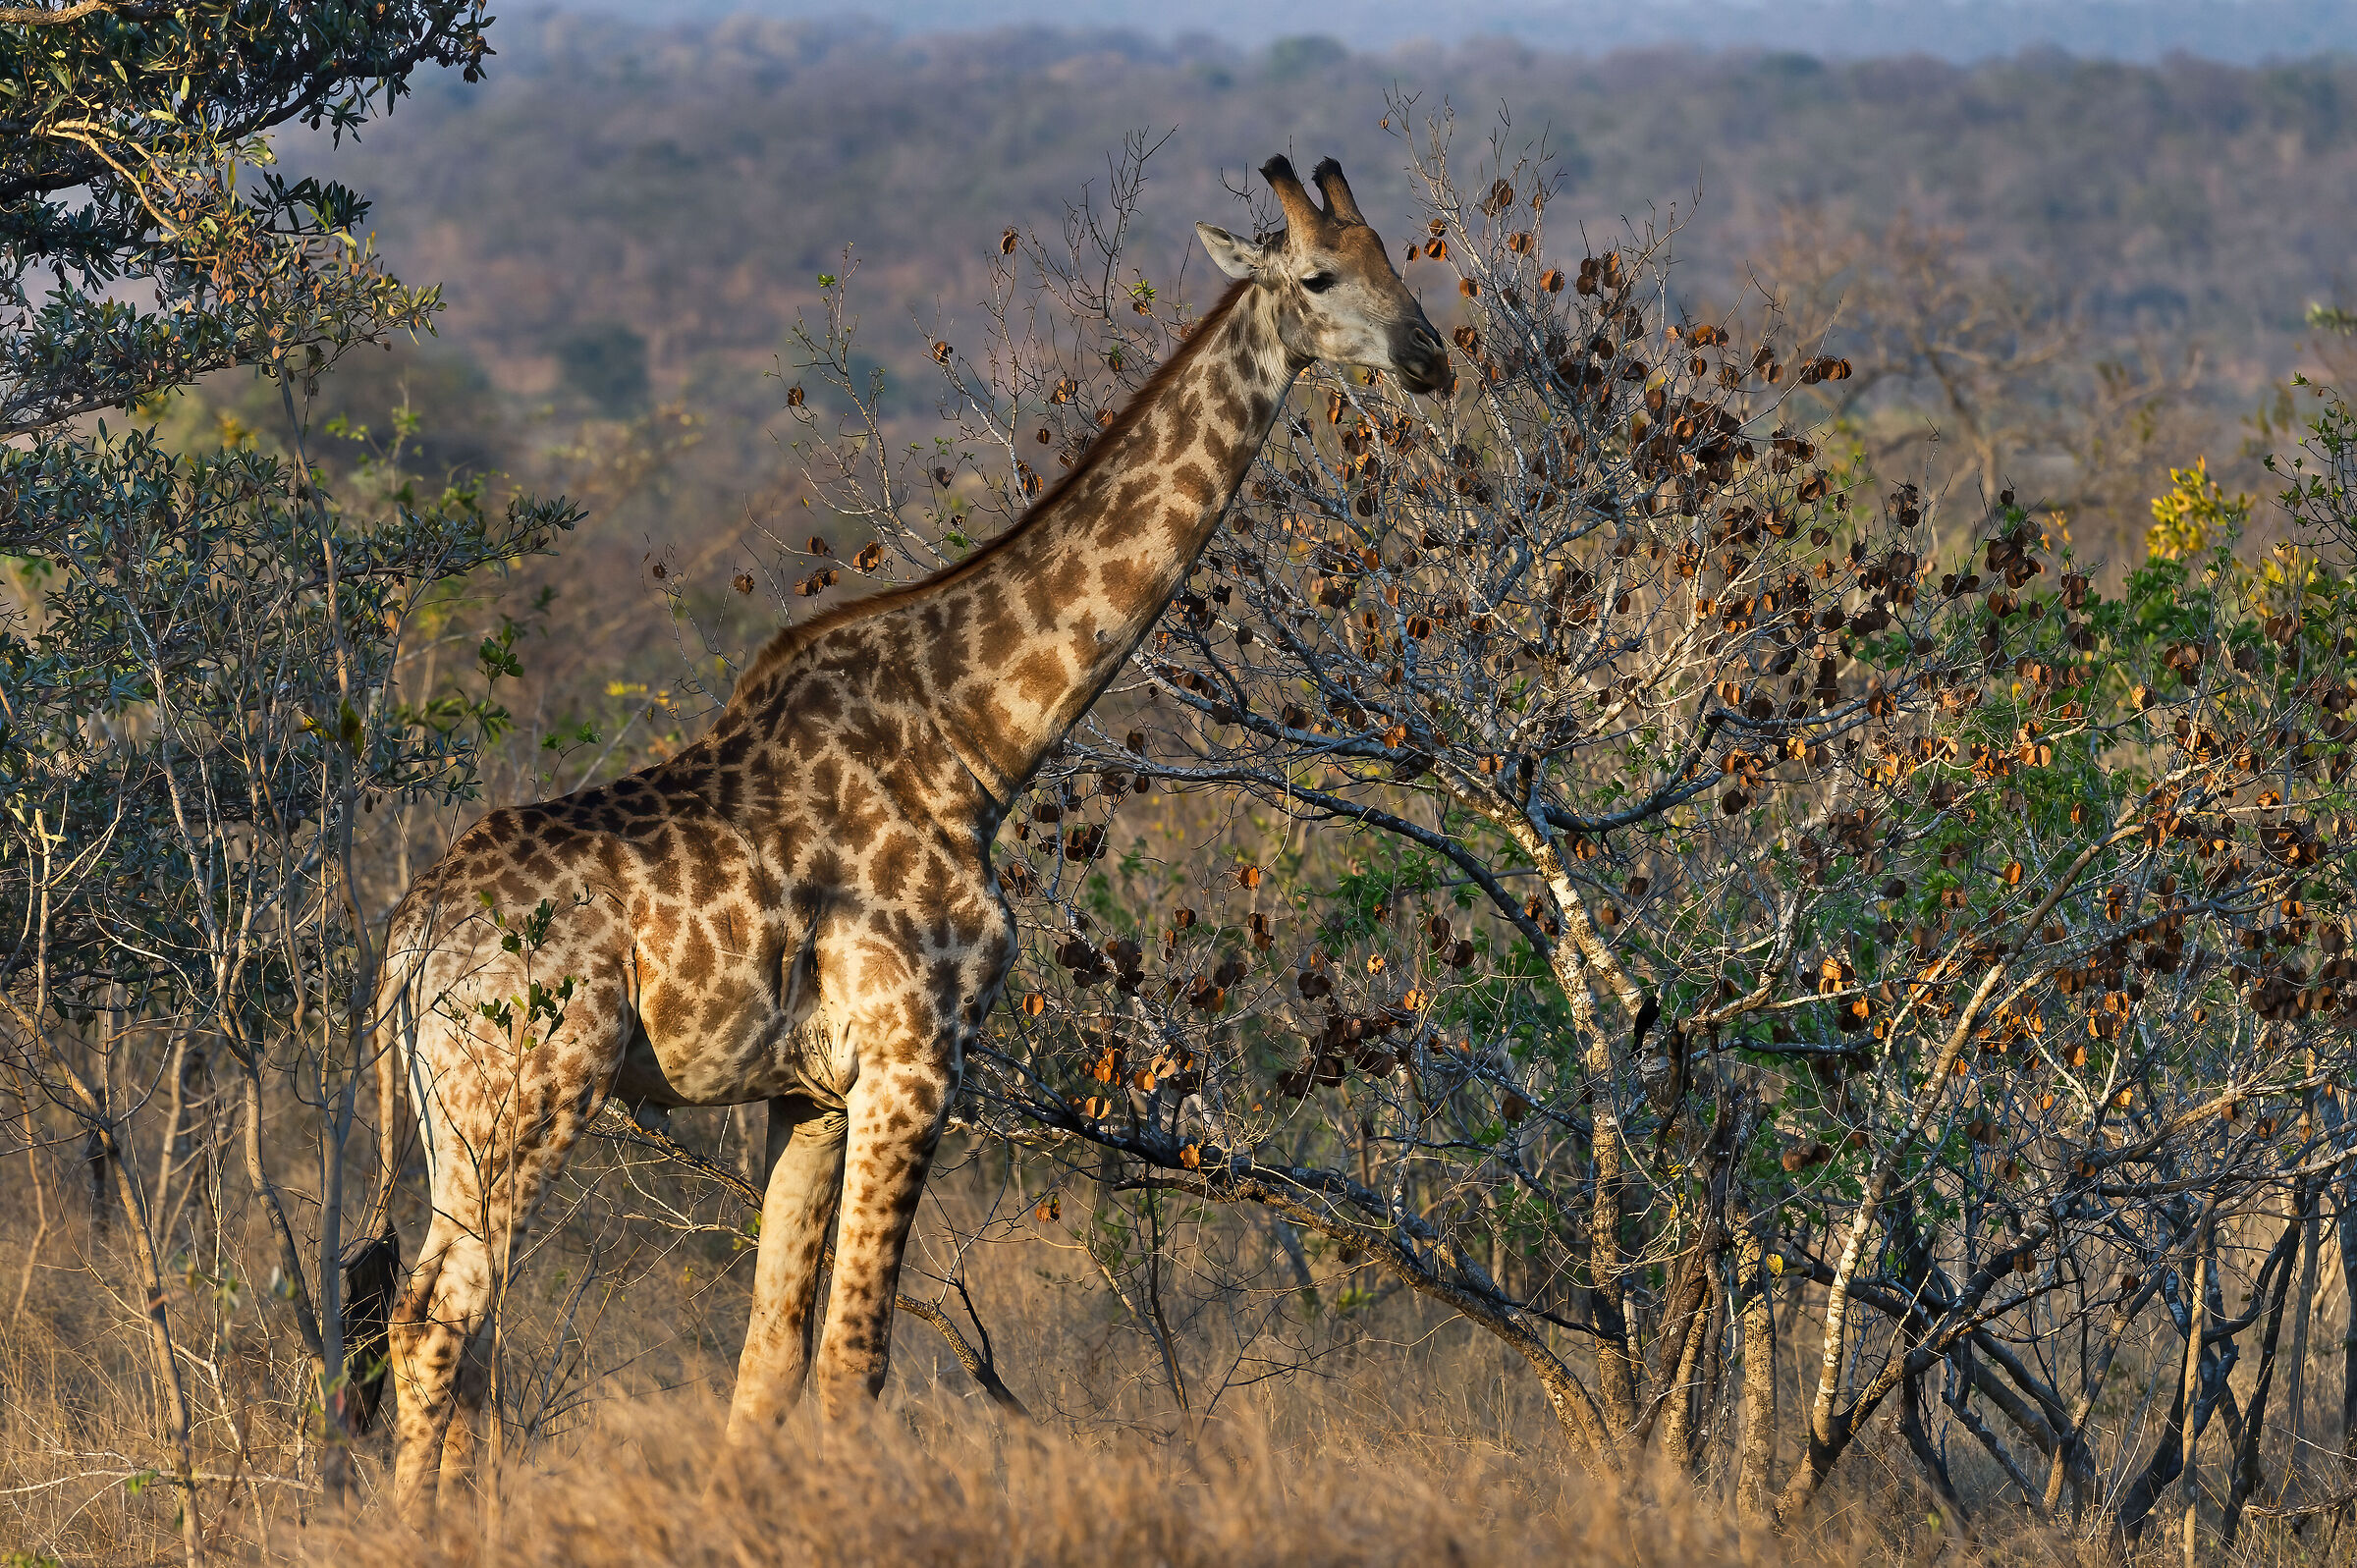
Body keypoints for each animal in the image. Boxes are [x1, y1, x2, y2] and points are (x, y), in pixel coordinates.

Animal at [373, 154, 1448, 1522]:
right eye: (1317, 278)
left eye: (1393, 262)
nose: (1430, 357)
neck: (979, 736)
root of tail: (410, 939)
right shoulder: (916, 1056)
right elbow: (855, 1365)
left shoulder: (810, 1091)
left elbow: (770, 1360)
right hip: (525, 1094)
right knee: (437, 1318)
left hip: (459, 1119)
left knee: (449, 1316)